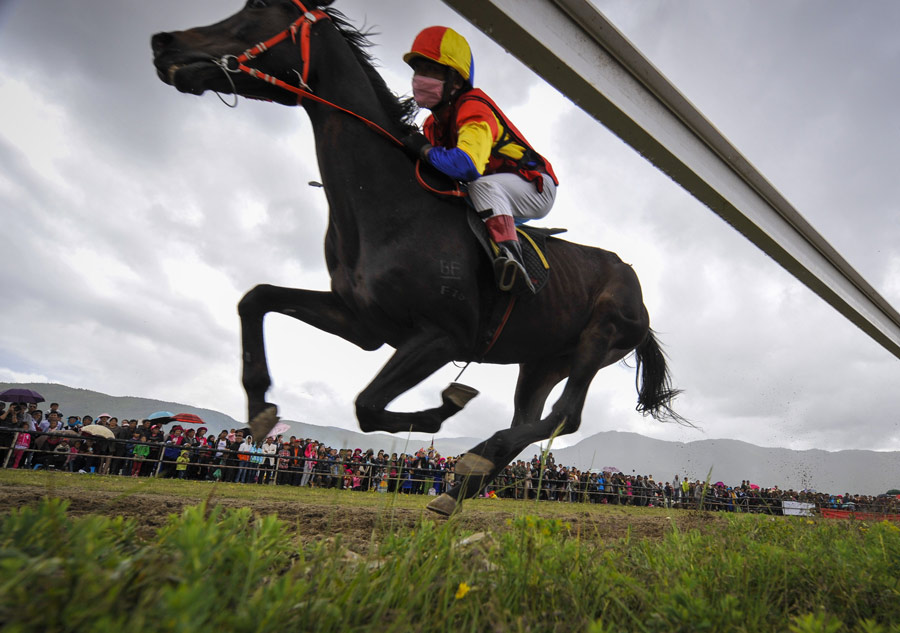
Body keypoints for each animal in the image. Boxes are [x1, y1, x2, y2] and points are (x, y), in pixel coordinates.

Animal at [151, 0, 680, 512]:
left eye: (258, 8)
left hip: (600, 336)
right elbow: (257, 298)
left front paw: (448, 405)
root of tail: (638, 290)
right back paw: (459, 487)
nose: (164, 42)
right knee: (532, 418)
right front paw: (260, 406)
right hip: (542, 360)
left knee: (564, 416)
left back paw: (474, 458)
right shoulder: (362, 322)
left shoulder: (442, 336)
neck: (390, 205)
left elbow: (367, 405)